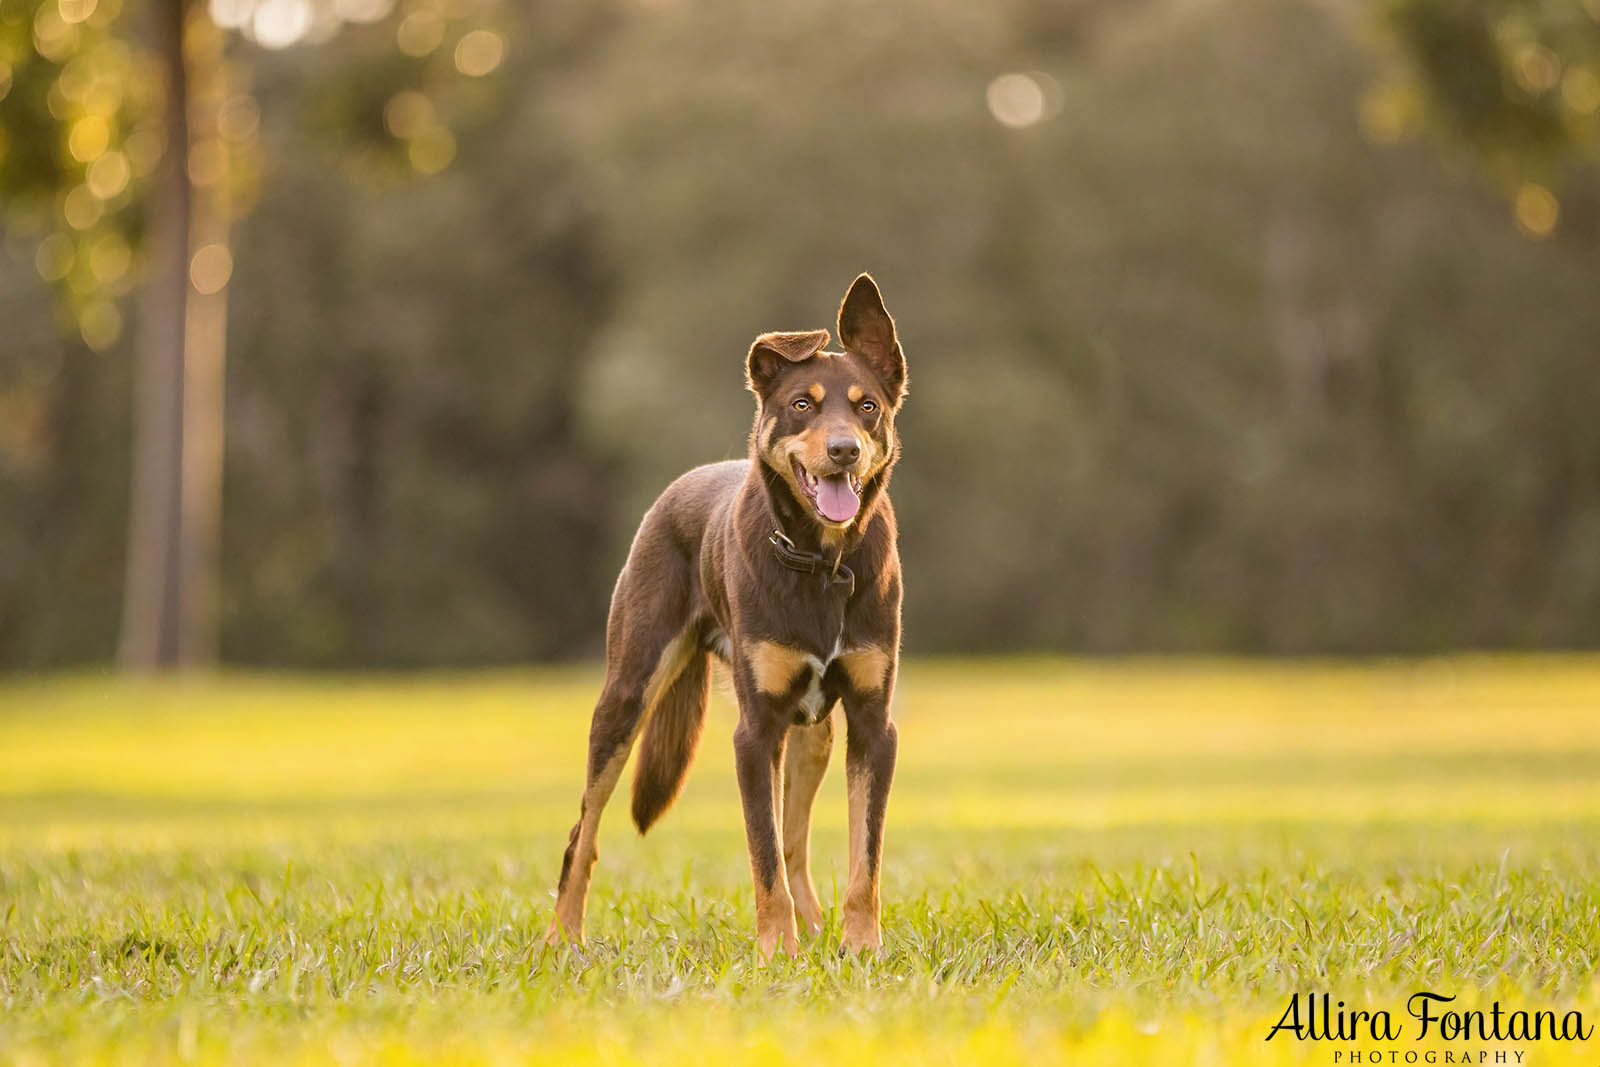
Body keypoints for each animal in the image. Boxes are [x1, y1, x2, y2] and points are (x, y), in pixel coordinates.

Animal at [547, 273, 902, 959]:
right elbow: (763, 859)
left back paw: (816, 930)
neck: (821, 562)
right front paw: (777, 952)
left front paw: (861, 949)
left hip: (813, 734)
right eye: (802, 405)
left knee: (797, 844)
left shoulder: (873, 725)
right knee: (584, 831)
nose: (844, 450)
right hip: (627, 695)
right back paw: (563, 938)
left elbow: (861, 860)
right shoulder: (755, 733)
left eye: (867, 406)